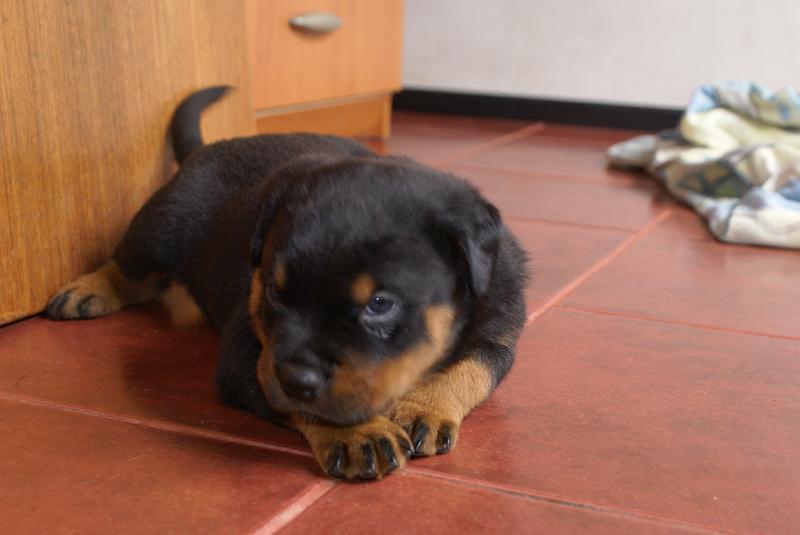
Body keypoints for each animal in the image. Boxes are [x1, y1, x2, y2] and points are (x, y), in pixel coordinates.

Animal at [45, 87, 528, 479]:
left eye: (379, 304)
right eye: (275, 290)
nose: (296, 378)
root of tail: (209, 147)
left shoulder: (500, 325)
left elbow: (471, 368)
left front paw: (423, 406)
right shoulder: (246, 353)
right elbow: (308, 400)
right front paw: (358, 433)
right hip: (161, 225)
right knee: (131, 267)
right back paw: (87, 291)